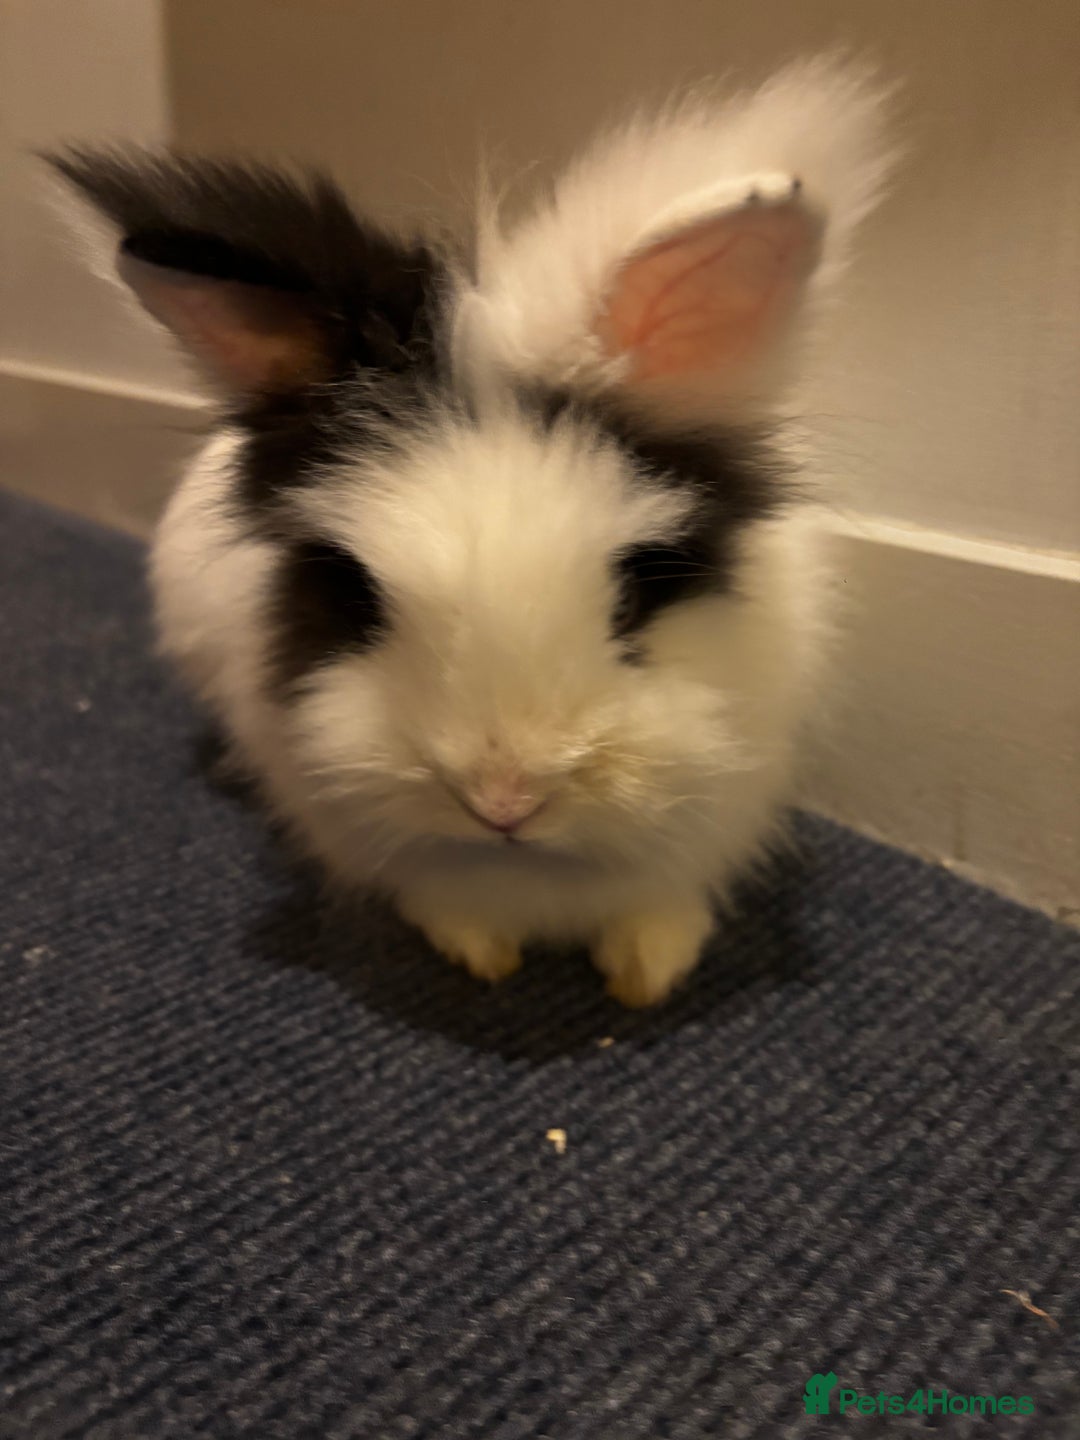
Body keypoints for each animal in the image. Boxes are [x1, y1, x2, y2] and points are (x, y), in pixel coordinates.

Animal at [49, 57, 892, 1007]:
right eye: (357, 593)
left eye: (640, 584)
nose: (504, 799)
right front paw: (482, 956)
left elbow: (663, 904)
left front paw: (649, 972)